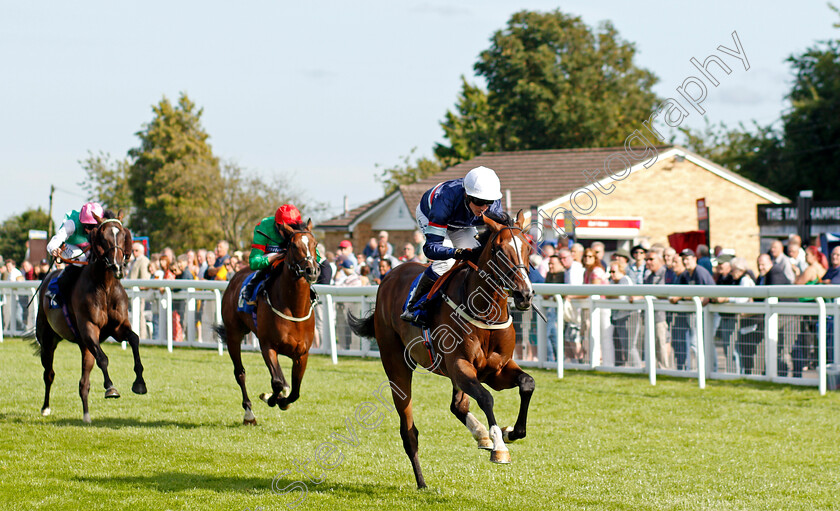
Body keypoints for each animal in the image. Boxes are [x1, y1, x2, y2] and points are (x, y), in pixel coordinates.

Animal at [215, 222, 320, 426]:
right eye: (293, 245)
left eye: (315, 244)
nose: (312, 270)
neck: (293, 307)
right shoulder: (268, 346)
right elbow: (277, 382)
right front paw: (271, 399)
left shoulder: (302, 354)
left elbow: (295, 390)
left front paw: (282, 401)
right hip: (233, 335)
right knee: (240, 373)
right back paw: (249, 414)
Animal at [350, 211, 540, 488]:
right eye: (498, 249)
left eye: (527, 247)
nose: (524, 294)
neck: (486, 313)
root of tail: (390, 275)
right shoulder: (460, 365)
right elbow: (486, 398)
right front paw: (499, 446)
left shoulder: (496, 369)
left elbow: (527, 383)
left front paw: (510, 432)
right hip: (396, 363)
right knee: (409, 430)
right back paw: (422, 482)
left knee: (457, 406)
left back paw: (480, 434)